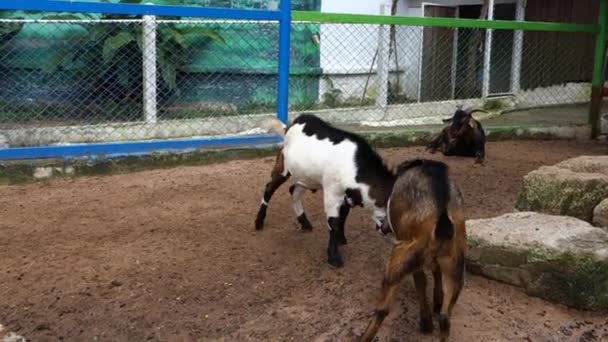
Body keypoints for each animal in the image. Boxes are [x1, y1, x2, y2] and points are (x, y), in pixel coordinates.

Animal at [253, 114, 392, 268]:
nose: (386, 231)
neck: (355, 166)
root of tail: (289, 127)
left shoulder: (345, 195)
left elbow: (343, 215)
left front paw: (341, 239)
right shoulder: (332, 194)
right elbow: (333, 222)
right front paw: (334, 257)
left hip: (306, 178)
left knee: (294, 190)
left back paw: (304, 223)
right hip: (283, 167)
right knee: (269, 188)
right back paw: (259, 222)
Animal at [360, 160, 466, 342]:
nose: (380, 227)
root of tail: (443, 218)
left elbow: (420, 282)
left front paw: (426, 324)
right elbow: (435, 273)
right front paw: (436, 303)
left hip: (403, 255)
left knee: (383, 308)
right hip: (455, 263)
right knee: (445, 318)